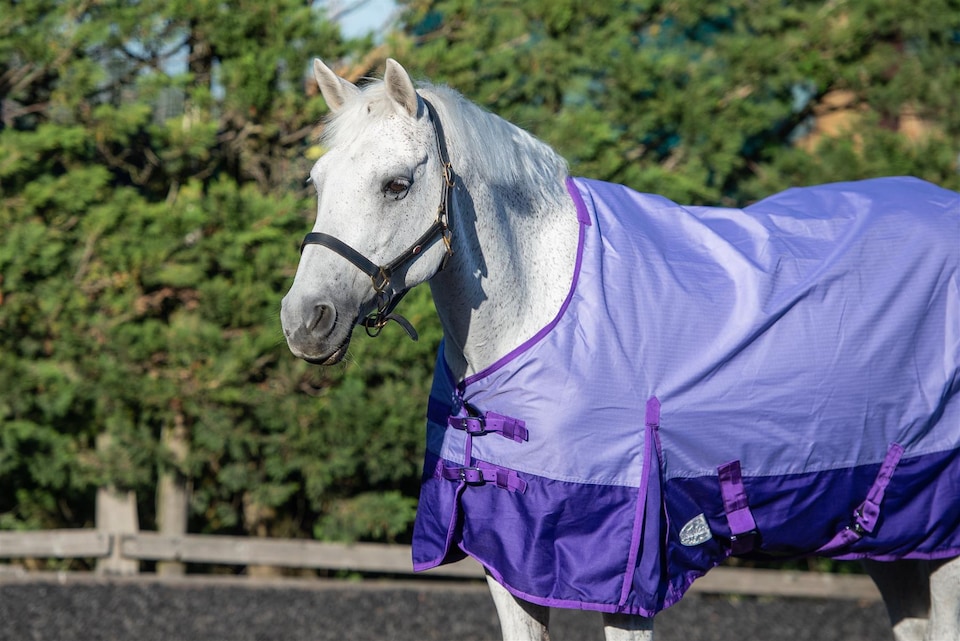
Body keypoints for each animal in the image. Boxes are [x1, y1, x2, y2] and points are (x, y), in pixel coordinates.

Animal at [280, 58, 960, 641]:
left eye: (397, 185)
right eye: (317, 181)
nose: (304, 320)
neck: (542, 306)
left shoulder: (624, 580)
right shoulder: (509, 558)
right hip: (891, 539)